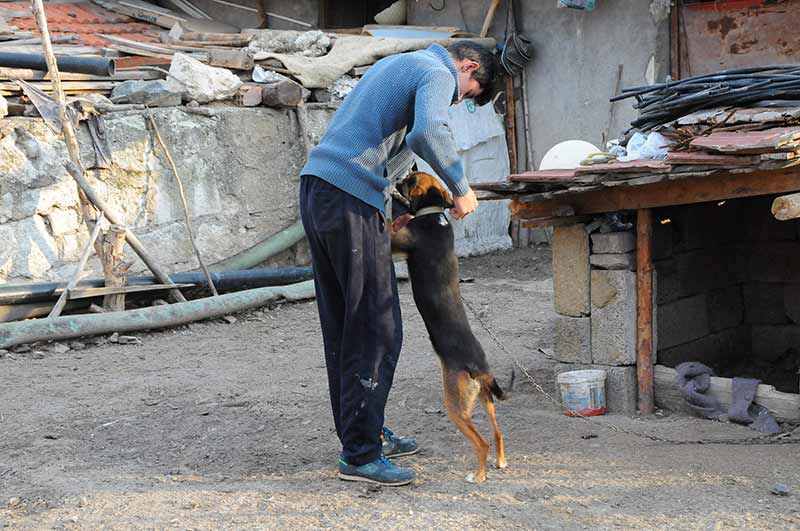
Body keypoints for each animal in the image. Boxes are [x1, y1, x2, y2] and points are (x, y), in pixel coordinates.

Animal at [392, 172, 516, 484]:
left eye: (409, 180)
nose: (397, 178)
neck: (435, 212)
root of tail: (481, 368)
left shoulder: (396, 242)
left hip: (456, 406)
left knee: (482, 443)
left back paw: (478, 476)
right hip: (485, 401)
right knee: (498, 434)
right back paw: (500, 463)